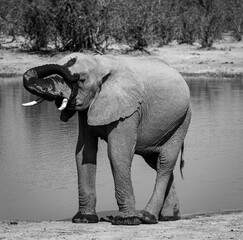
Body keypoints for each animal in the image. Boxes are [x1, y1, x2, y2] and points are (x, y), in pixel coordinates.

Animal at [22, 52, 191, 225]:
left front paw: (127, 220)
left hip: (182, 120)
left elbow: (118, 154)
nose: (72, 63)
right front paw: (84, 219)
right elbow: (83, 153)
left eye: (81, 80)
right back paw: (169, 217)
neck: (100, 64)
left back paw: (147, 216)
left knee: (165, 163)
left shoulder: (129, 109)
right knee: (155, 162)